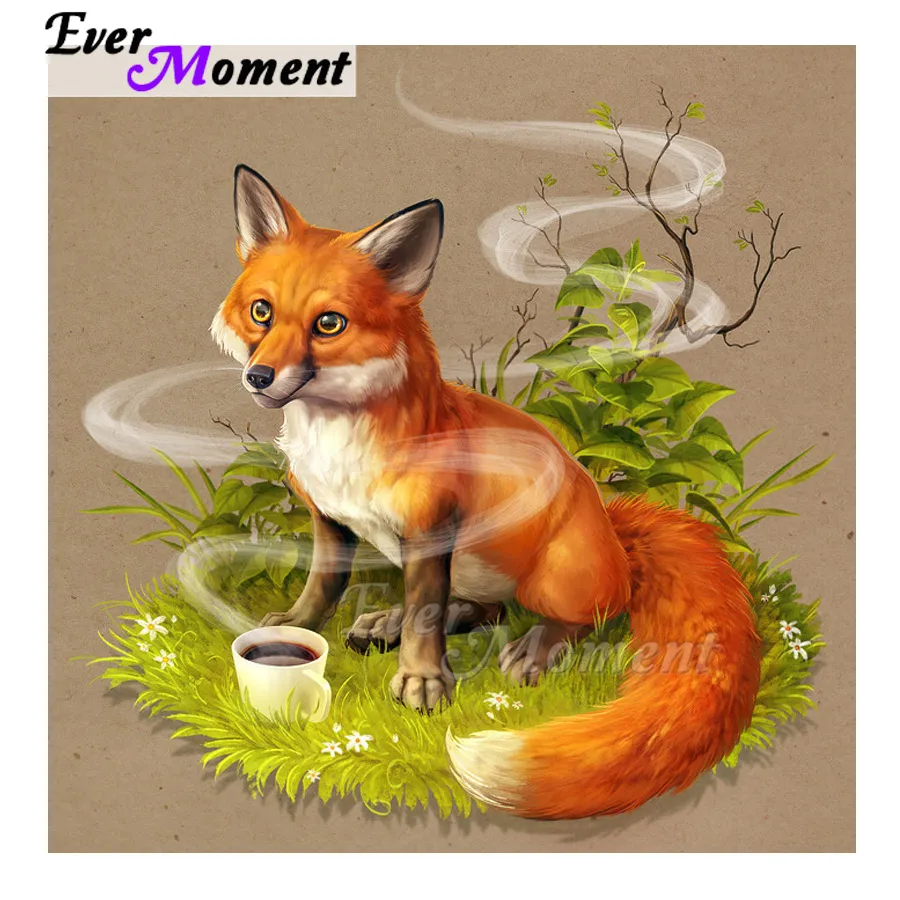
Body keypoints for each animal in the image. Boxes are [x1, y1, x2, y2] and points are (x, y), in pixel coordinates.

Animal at [210, 164, 762, 819]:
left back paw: (535, 647)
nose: (259, 377)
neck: (342, 444)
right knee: (475, 609)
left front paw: (422, 681)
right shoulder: (330, 517)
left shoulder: (432, 526)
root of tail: (616, 536)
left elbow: (425, 615)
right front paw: (299, 624)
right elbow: (327, 583)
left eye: (329, 324)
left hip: (554, 578)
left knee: (584, 615)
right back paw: (389, 621)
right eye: (262, 312)